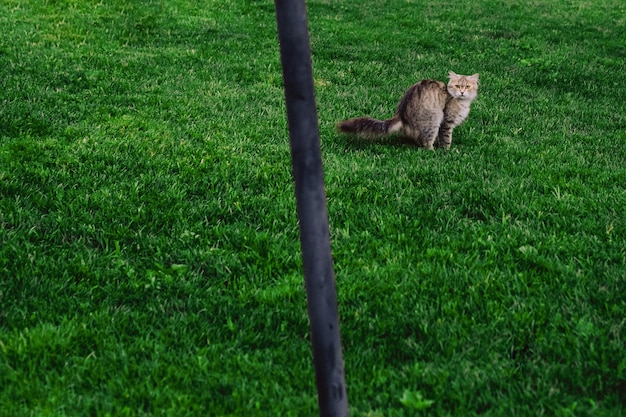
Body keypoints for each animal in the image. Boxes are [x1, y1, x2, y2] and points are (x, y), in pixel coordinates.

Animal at [336, 71, 478, 150]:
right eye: (458, 86)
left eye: (467, 86)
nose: (462, 92)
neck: (461, 102)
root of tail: (401, 115)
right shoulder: (446, 122)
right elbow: (446, 138)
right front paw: (446, 150)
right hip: (434, 119)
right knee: (425, 143)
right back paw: (433, 152)